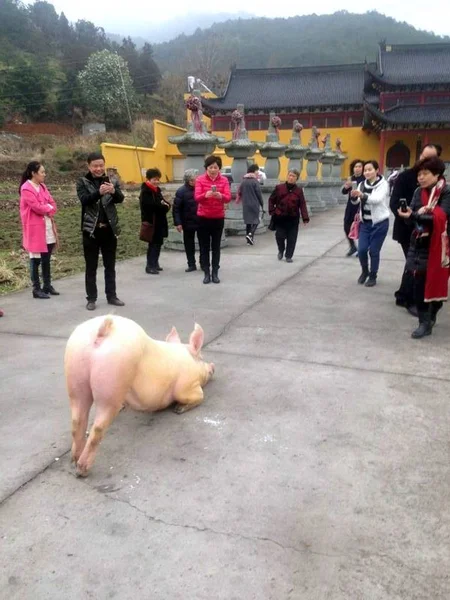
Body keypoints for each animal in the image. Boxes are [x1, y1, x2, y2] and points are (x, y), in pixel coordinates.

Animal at [63, 314, 216, 478]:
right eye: (202, 357)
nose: (213, 366)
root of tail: (104, 329)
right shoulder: (188, 386)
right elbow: (199, 397)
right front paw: (178, 409)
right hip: (114, 378)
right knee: (98, 427)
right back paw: (82, 470)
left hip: (75, 372)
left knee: (77, 420)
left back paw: (74, 460)